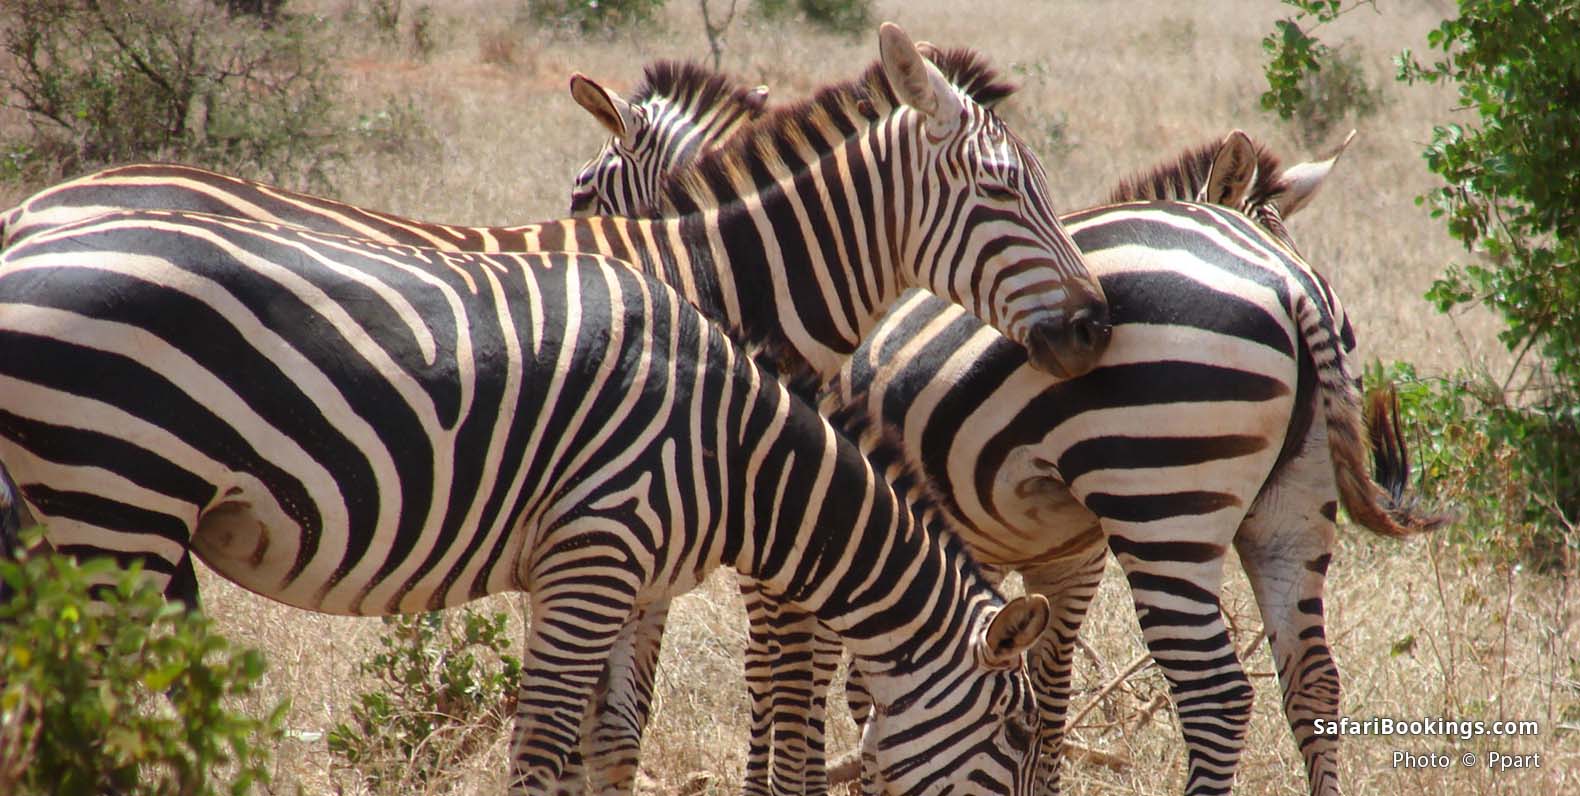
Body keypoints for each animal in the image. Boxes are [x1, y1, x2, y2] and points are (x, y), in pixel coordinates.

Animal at [0, 25, 1111, 792]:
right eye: (1004, 192)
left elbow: (618, 726)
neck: (716, 279)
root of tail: (38, 209)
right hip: (115, 494)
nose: (1097, 326)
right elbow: (743, 694)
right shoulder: (648, 542)